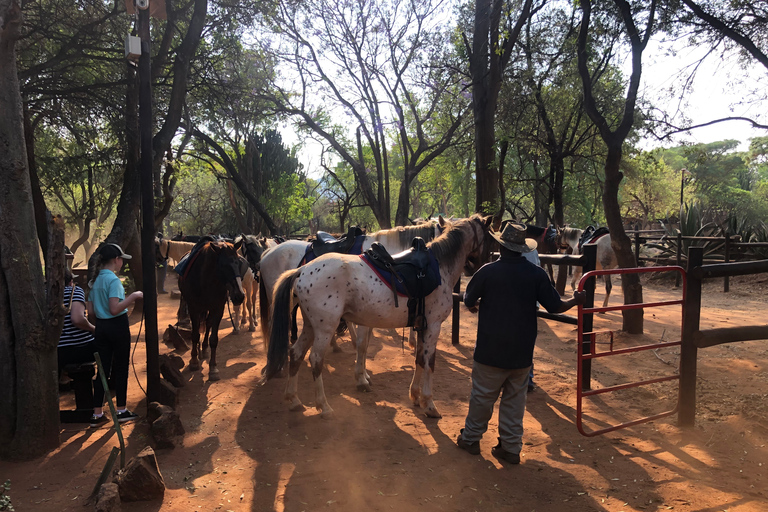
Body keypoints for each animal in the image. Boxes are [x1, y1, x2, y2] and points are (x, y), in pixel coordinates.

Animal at [178, 240, 244, 380]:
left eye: (239, 263)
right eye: (224, 265)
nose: (239, 296)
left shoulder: (218, 309)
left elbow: (213, 339)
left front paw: (213, 368)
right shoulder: (194, 309)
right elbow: (195, 334)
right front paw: (193, 361)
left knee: (207, 324)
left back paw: (204, 349)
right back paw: (198, 351)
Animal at [262, 214, 492, 418]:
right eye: (490, 235)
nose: (478, 266)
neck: (436, 267)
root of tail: (301, 271)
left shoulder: (421, 326)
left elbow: (418, 358)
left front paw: (415, 395)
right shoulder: (432, 326)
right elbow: (428, 362)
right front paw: (429, 403)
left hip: (311, 325)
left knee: (296, 353)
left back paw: (294, 400)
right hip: (324, 328)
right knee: (315, 359)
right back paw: (323, 407)